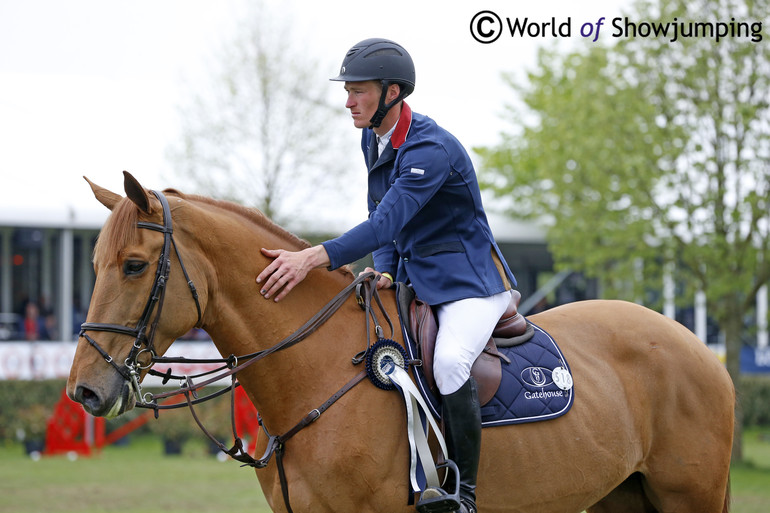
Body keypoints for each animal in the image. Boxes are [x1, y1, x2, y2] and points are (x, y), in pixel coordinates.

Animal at [70, 173, 732, 512]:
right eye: (93, 263)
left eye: (133, 266)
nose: (84, 391)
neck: (316, 369)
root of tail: (703, 349)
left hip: (687, 496)